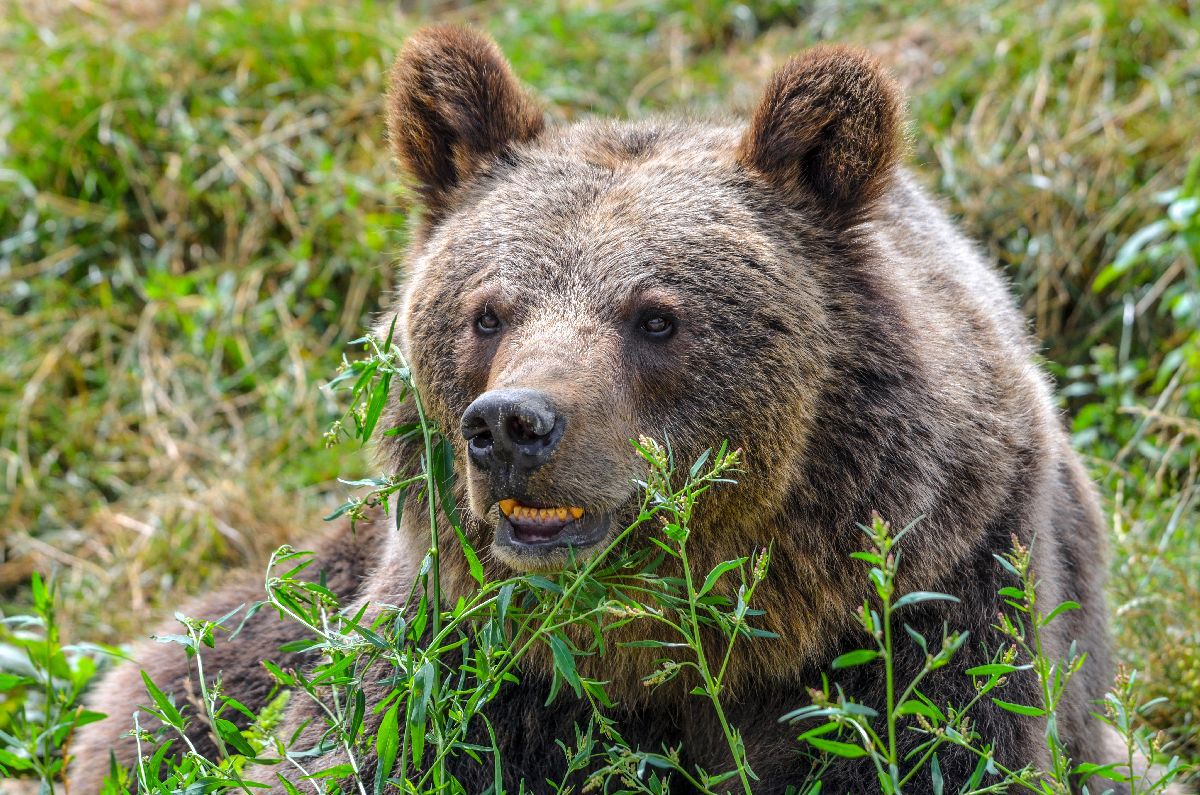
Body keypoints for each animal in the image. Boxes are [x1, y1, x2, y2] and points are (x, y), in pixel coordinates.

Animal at [68, 26, 1113, 795]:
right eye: (488, 311)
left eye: (656, 316)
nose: (511, 426)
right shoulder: (469, 649)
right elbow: (349, 745)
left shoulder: (928, 610)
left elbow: (946, 741)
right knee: (168, 692)